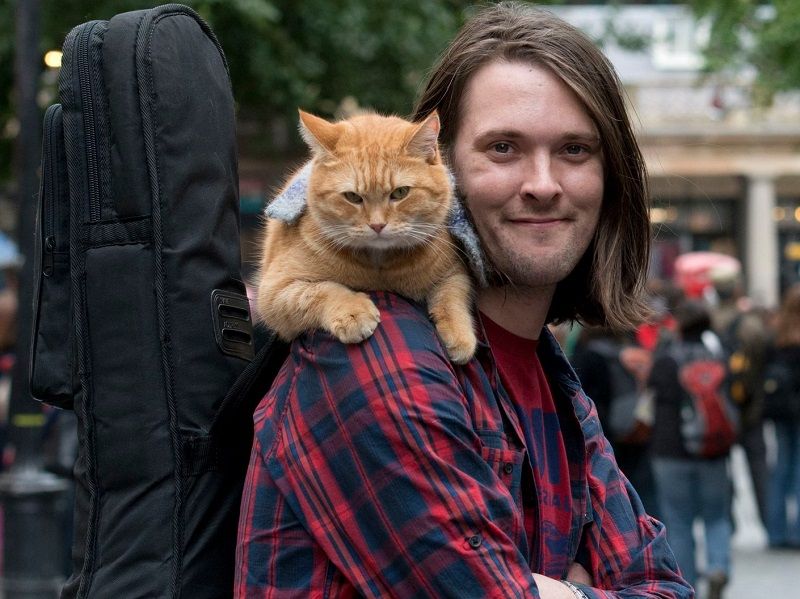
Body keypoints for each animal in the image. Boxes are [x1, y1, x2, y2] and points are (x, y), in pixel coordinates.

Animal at [255, 111, 476, 366]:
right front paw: (353, 311)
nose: (377, 225)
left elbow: (452, 297)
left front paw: (460, 334)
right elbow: (320, 291)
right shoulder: (274, 291)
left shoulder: (454, 271)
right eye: (352, 197)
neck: (379, 267)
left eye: (400, 193)